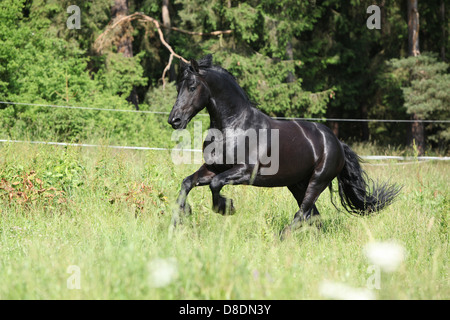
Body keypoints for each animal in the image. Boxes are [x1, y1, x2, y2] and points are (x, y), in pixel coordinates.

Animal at [169, 54, 400, 238]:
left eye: (192, 87)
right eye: (178, 87)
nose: (174, 120)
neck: (234, 127)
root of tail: (337, 142)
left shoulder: (246, 172)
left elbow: (216, 184)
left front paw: (226, 208)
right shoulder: (212, 168)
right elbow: (187, 183)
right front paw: (181, 217)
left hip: (317, 181)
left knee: (303, 213)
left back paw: (281, 237)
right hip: (297, 184)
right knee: (313, 216)